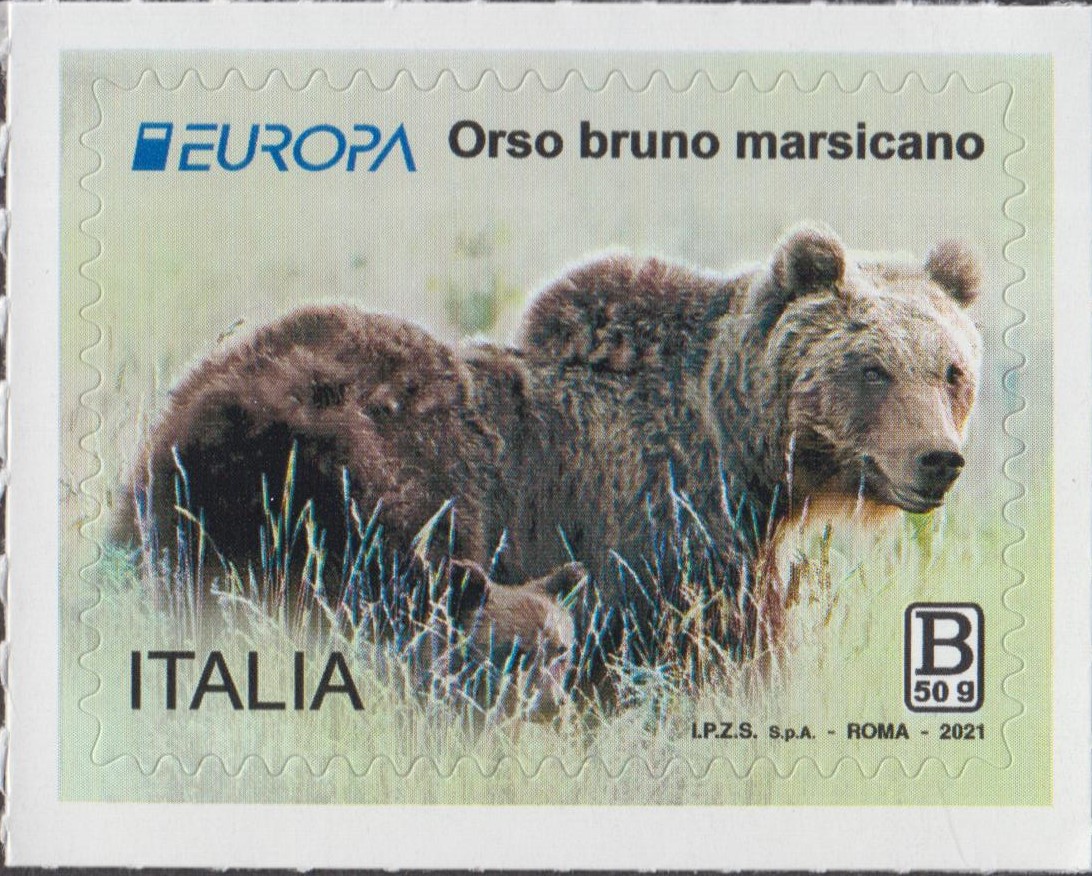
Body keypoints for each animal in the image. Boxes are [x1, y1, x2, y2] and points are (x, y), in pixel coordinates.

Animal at [117, 223, 982, 697]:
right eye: (872, 367)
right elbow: (713, 654)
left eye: (950, 369)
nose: (937, 460)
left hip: (181, 518)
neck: (745, 455)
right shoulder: (667, 526)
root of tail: (209, 405)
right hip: (365, 489)